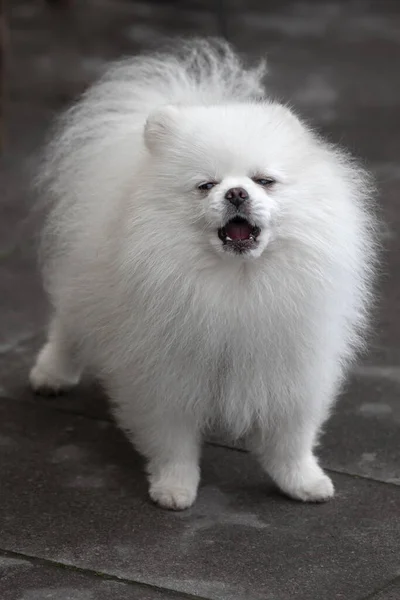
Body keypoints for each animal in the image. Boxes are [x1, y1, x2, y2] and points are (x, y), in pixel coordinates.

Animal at [29, 37, 376, 508]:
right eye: (206, 185)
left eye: (263, 181)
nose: (236, 193)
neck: (236, 281)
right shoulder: (166, 371)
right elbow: (172, 439)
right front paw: (174, 488)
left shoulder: (290, 362)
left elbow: (290, 437)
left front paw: (304, 482)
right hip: (84, 286)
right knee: (67, 325)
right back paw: (51, 374)